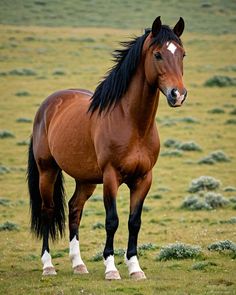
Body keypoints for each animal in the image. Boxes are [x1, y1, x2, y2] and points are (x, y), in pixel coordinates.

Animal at [27, 16, 186, 282]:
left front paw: (135, 267)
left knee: (74, 209)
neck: (132, 123)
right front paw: (111, 268)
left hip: (86, 179)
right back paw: (48, 266)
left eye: (182, 54)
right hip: (47, 171)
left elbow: (134, 222)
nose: (178, 94)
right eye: (158, 55)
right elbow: (112, 220)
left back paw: (78, 264)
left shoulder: (144, 179)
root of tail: (48, 105)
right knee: (48, 211)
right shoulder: (111, 177)